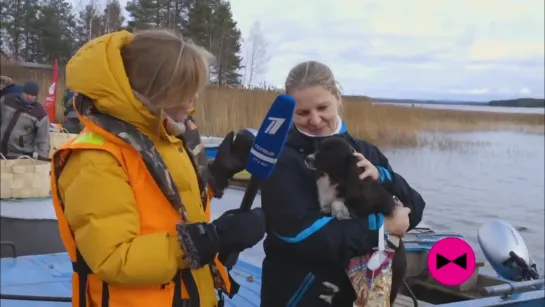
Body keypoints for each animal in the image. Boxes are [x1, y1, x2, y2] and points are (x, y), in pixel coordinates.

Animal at [304, 137, 406, 306]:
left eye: (328, 152)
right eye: (318, 148)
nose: (307, 159)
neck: (337, 176)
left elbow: (338, 202)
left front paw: (339, 210)